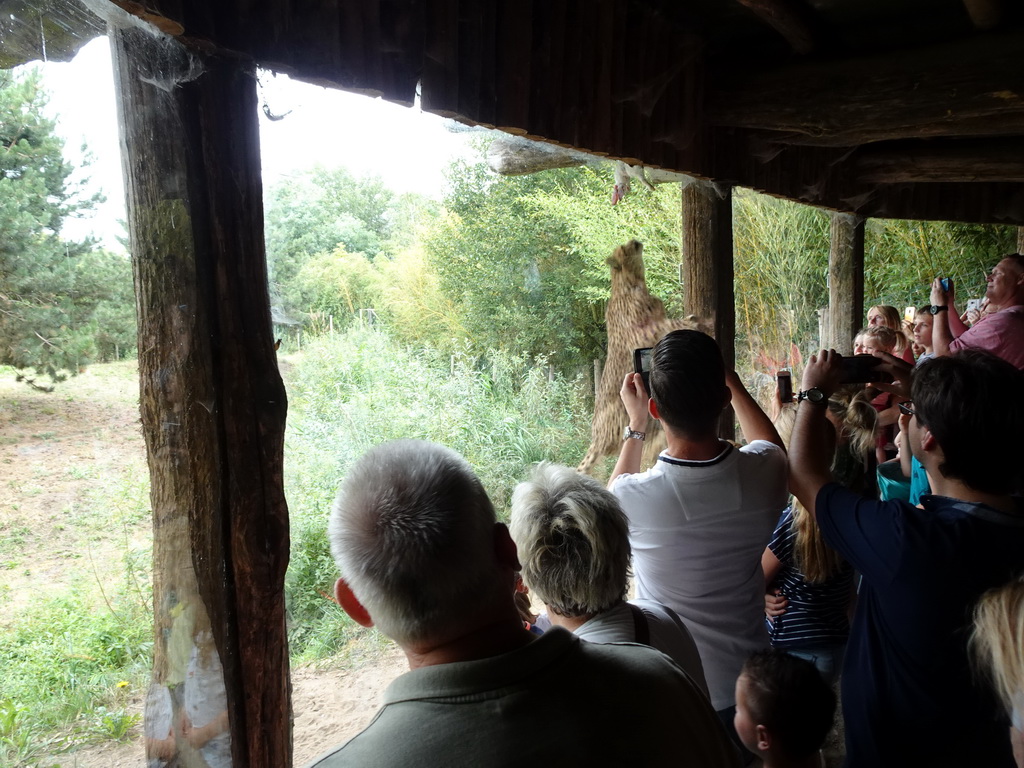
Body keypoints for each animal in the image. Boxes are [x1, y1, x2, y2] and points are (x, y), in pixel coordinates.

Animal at [577, 241, 696, 481]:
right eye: (624, 247)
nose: (635, 241)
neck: (632, 281)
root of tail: (595, 438)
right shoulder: (649, 330)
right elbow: (674, 324)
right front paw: (696, 321)